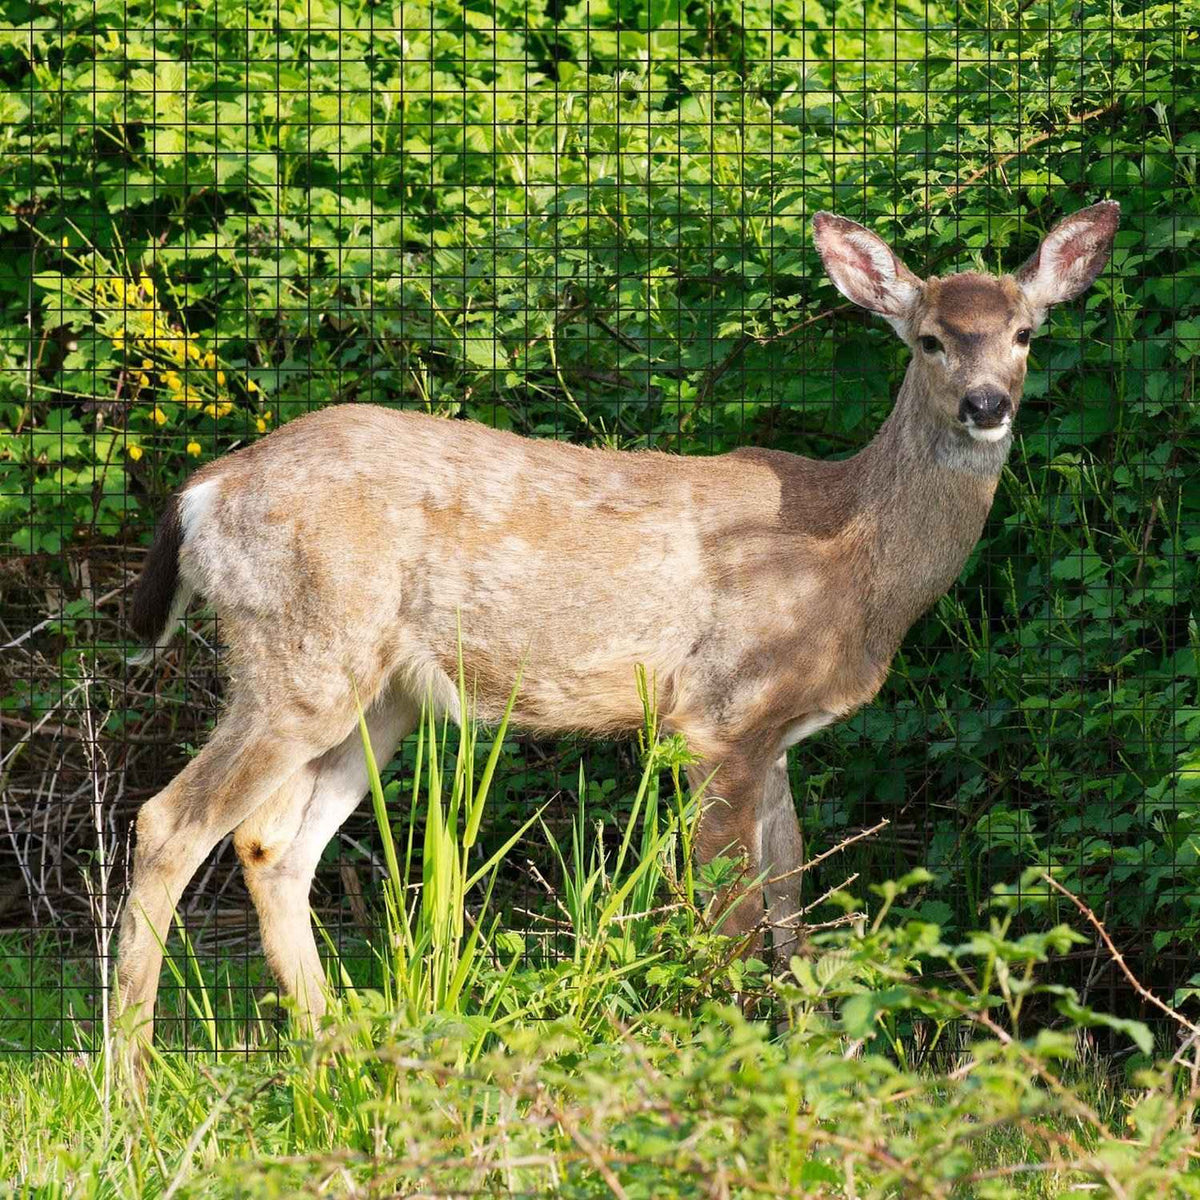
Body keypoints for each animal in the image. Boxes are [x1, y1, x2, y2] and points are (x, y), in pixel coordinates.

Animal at [117, 201, 1119, 1058]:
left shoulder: (776, 735)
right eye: (930, 339)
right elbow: (730, 918)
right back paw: (130, 1083)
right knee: (169, 822)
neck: (851, 557)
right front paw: (730, 1055)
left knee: (271, 846)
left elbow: (790, 907)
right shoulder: (716, 715)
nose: (987, 405)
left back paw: (334, 1052)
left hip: (379, 697)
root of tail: (204, 492)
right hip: (298, 657)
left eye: (1025, 334)